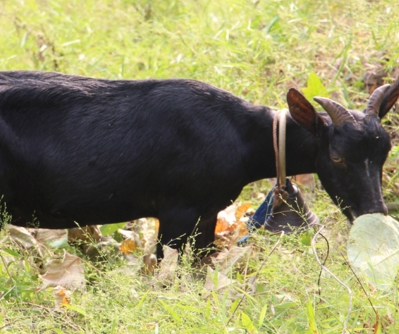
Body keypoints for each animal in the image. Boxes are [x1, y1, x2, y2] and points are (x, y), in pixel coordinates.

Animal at [0, 70, 398, 258]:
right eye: (336, 156)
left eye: (385, 152)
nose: (374, 214)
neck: (241, 137)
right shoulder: (177, 212)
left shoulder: (207, 213)